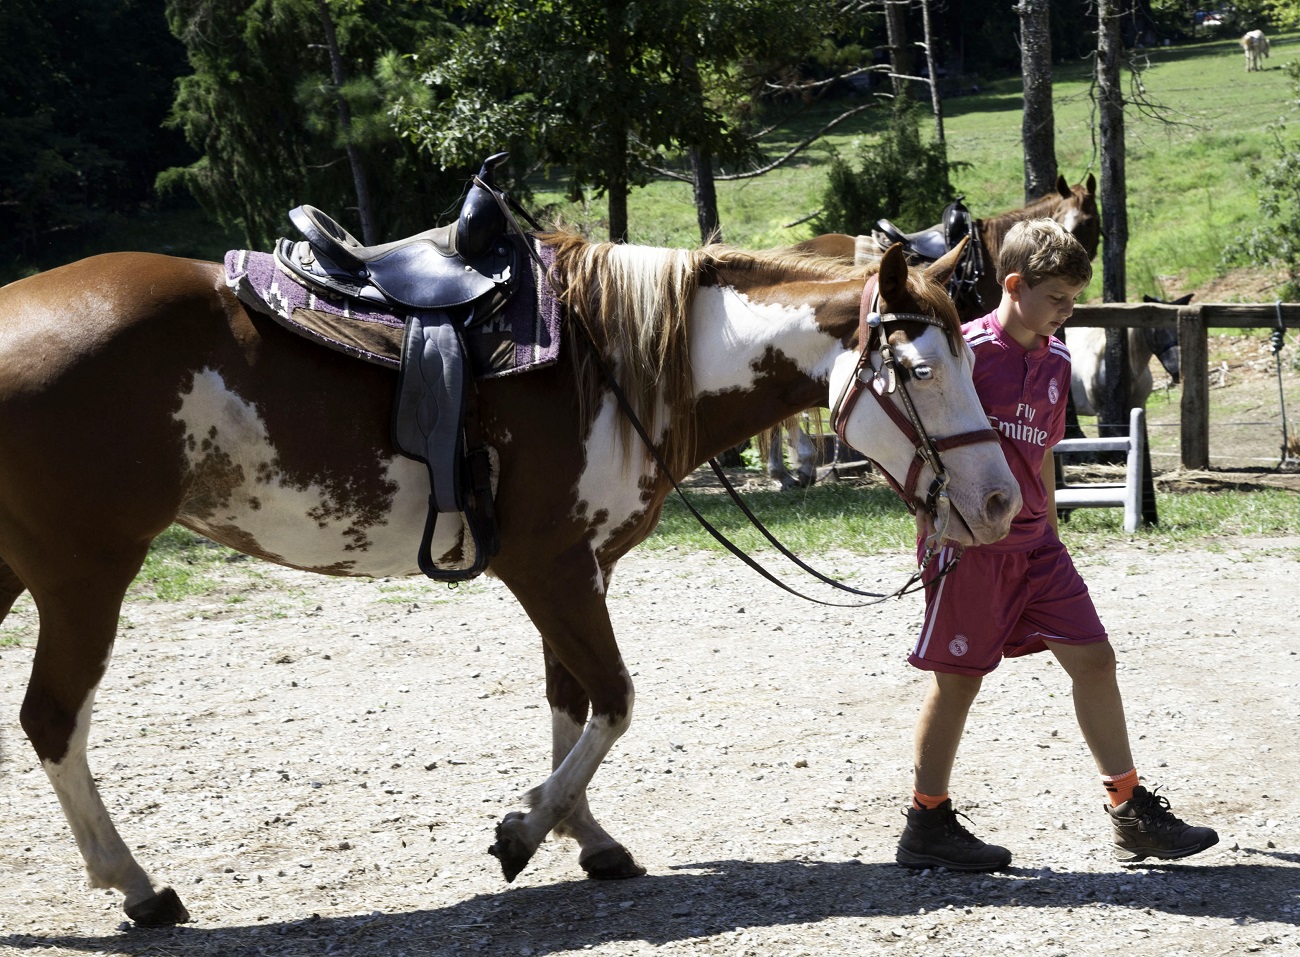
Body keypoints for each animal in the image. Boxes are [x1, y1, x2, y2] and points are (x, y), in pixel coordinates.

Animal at [0, 234, 1019, 925]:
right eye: (919, 368)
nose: (1003, 500)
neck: (612, 367)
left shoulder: (578, 570)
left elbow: (572, 702)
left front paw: (586, 836)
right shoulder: (550, 568)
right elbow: (614, 699)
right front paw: (524, 830)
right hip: (85, 573)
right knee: (53, 718)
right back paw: (137, 887)